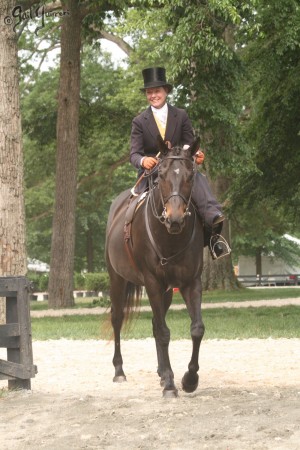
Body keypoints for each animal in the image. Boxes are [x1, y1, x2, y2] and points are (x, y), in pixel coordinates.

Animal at [104, 137, 205, 398]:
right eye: (161, 174)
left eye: (191, 175)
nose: (175, 218)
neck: (171, 238)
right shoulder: (151, 282)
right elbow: (163, 332)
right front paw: (170, 383)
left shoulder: (191, 282)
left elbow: (196, 329)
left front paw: (189, 379)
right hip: (117, 279)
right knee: (117, 318)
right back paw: (119, 371)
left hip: (167, 291)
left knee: (154, 323)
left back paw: (161, 373)